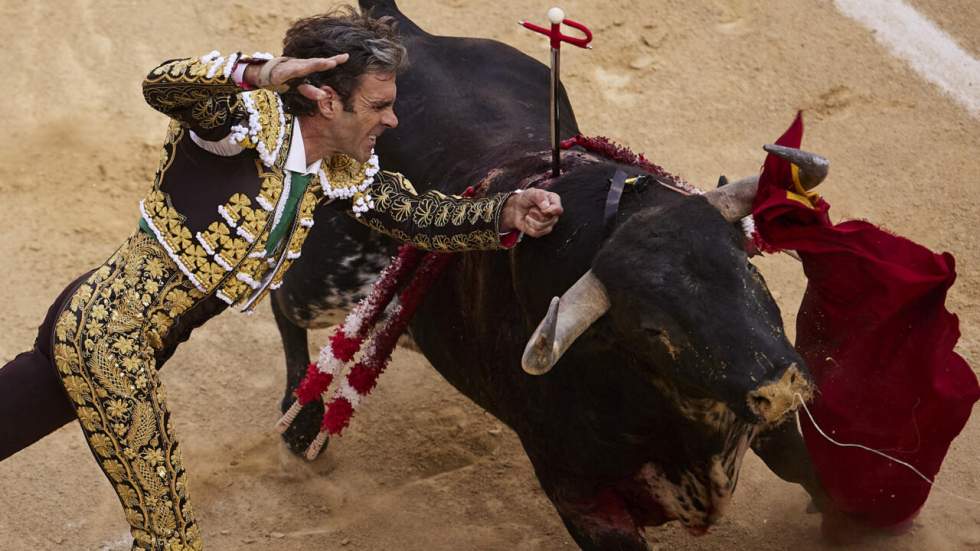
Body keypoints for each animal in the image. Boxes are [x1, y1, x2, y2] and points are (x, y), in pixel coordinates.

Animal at [272, 2, 832, 548]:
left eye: (749, 271)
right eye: (652, 328)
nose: (781, 387)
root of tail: (402, 30)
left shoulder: (764, 424)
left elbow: (807, 472)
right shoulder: (578, 495)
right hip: (328, 277)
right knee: (283, 299)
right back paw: (301, 419)